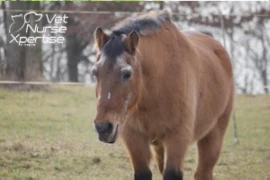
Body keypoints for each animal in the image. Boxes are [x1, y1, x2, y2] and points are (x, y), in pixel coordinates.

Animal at [92, 10, 233, 180]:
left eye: (127, 74)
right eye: (95, 73)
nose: (103, 127)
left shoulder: (177, 138)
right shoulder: (134, 138)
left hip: (214, 135)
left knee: (203, 173)